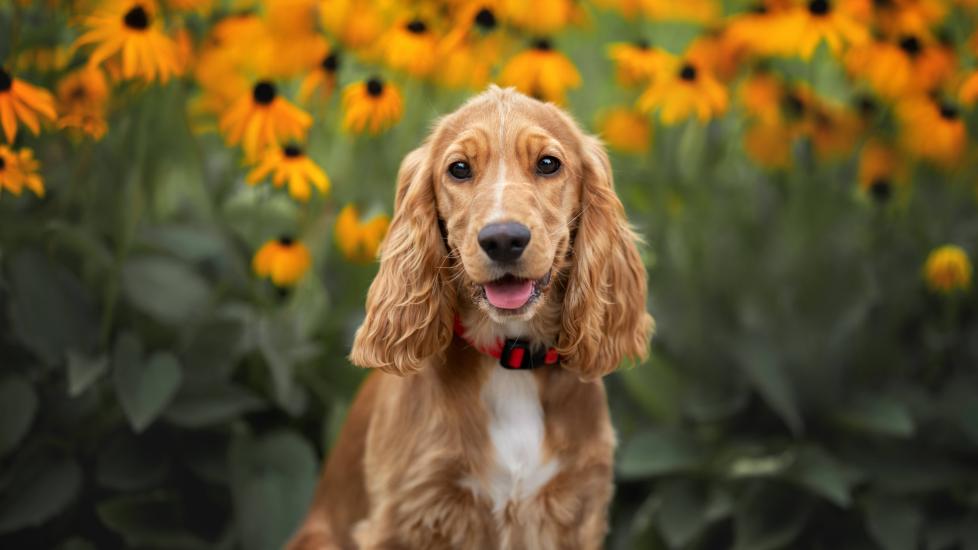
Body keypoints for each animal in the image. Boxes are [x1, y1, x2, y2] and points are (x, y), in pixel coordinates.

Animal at [286, 86, 652, 550]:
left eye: (548, 163)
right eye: (459, 169)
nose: (504, 239)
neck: (509, 359)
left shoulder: (576, 508)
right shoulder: (403, 516)